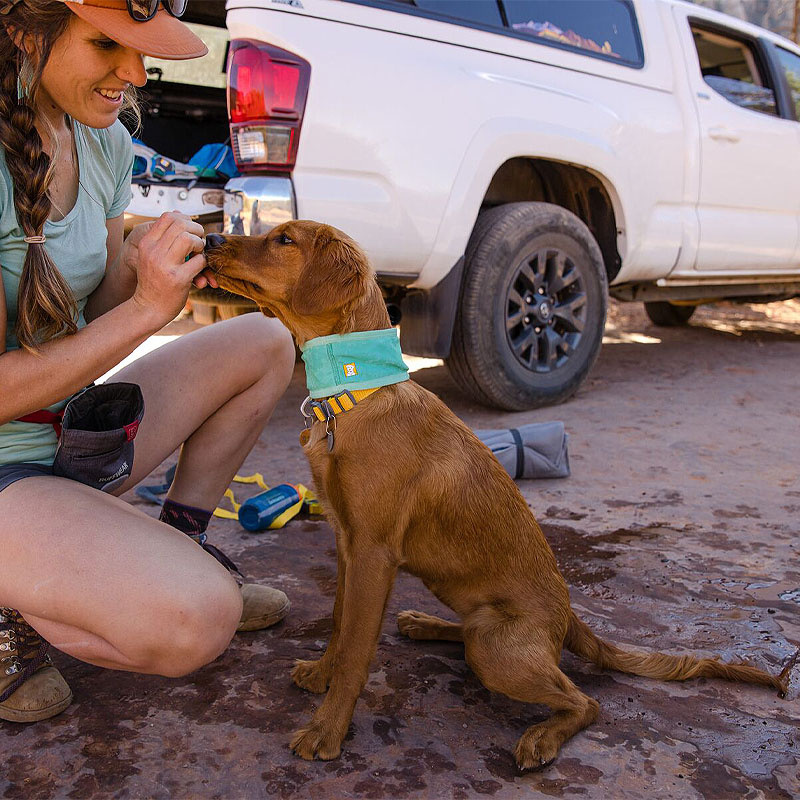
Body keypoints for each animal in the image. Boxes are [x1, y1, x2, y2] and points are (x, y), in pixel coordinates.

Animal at [203, 219, 792, 768]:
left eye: (284, 240)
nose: (209, 240)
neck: (355, 393)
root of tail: (567, 618)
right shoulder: (347, 543)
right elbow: (339, 622)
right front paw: (322, 675)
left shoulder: (372, 550)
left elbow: (355, 648)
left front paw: (327, 730)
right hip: (475, 622)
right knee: (471, 639)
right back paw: (426, 624)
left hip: (494, 648)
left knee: (585, 702)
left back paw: (541, 738)